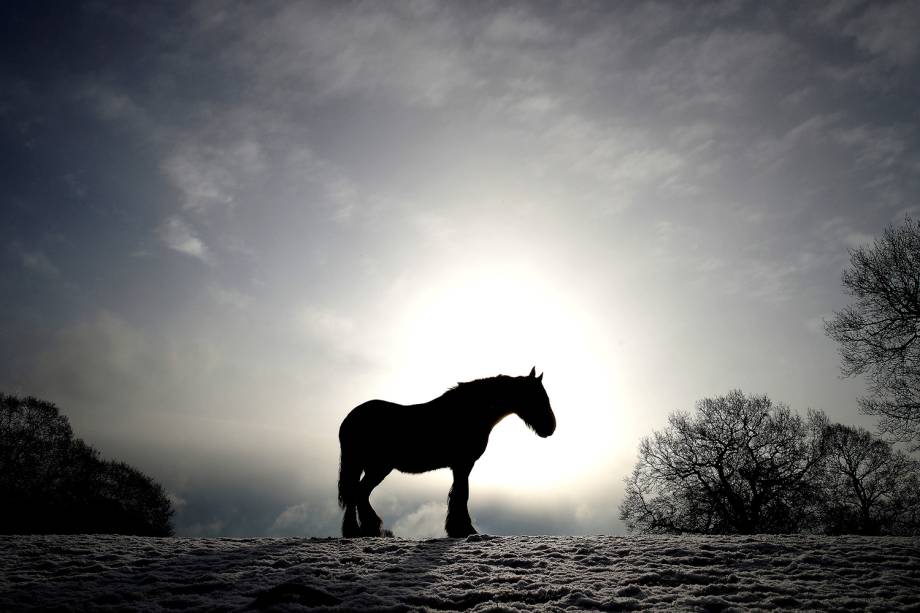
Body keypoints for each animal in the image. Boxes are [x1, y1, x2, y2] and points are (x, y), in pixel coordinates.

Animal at [336, 366, 552, 536]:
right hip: (377, 467)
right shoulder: (463, 464)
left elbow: (458, 493)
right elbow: (461, 494)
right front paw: (463, 529)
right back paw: (365, 529)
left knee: (356, 494)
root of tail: (349, 419)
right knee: (358, 493)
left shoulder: (460, 466)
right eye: (537, 397)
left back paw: (359, 530)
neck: (470, 412)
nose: (550, 427)